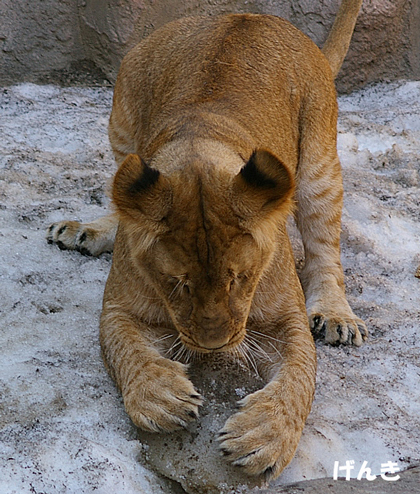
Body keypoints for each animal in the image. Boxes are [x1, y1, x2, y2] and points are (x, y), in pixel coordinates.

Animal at [46, 0, 368, 478]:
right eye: (178, 283)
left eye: (241, 279)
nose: (214, 345)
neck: (198, 149)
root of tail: (251, 16)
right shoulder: (118, 307)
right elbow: (125, 348)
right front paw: (160, 397)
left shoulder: (286, 318)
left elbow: (298, 376)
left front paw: (264, 437)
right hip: (123, 122)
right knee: (122, 194)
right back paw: (84, 230)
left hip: (318, 165)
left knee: (325, 247)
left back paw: (335, 315)